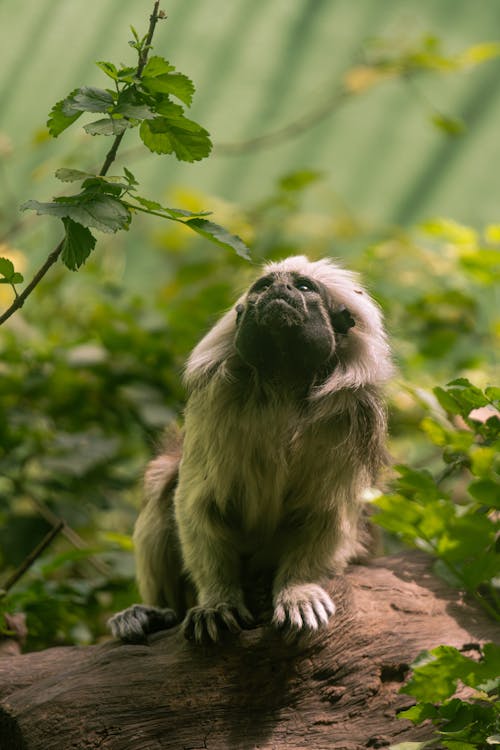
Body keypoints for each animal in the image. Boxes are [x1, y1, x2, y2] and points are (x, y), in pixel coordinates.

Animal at [107, 256, 392, 644]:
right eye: (263, 286)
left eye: (303, 286)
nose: (278, 289)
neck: (285, 384)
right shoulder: (216, 400)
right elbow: (197, 504)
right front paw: (217, 602)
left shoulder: (349, 417)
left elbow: (328, 514)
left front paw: (297, 591)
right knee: (164, 479)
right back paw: (155, 613)